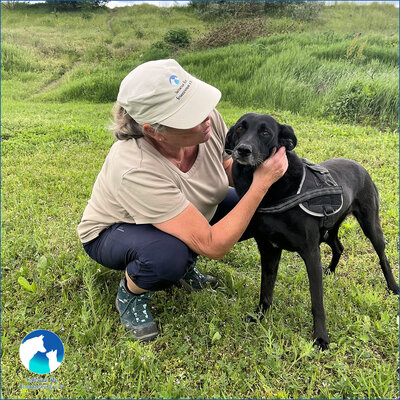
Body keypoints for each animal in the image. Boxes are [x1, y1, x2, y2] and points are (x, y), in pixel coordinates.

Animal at [227, 112, 398, 350]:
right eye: (240, 128)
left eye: (265, 132)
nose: (243, 150)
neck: (272, 190)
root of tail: (359, 165)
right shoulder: (269, 250)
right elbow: (266, 288)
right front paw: (260, 316)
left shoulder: (310, 252)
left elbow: (317, 301)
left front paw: (321, 338)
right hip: (329, 230)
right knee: (339, 246)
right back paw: (331, 271)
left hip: (371, 226)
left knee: (383, 256)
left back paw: (393, 287)